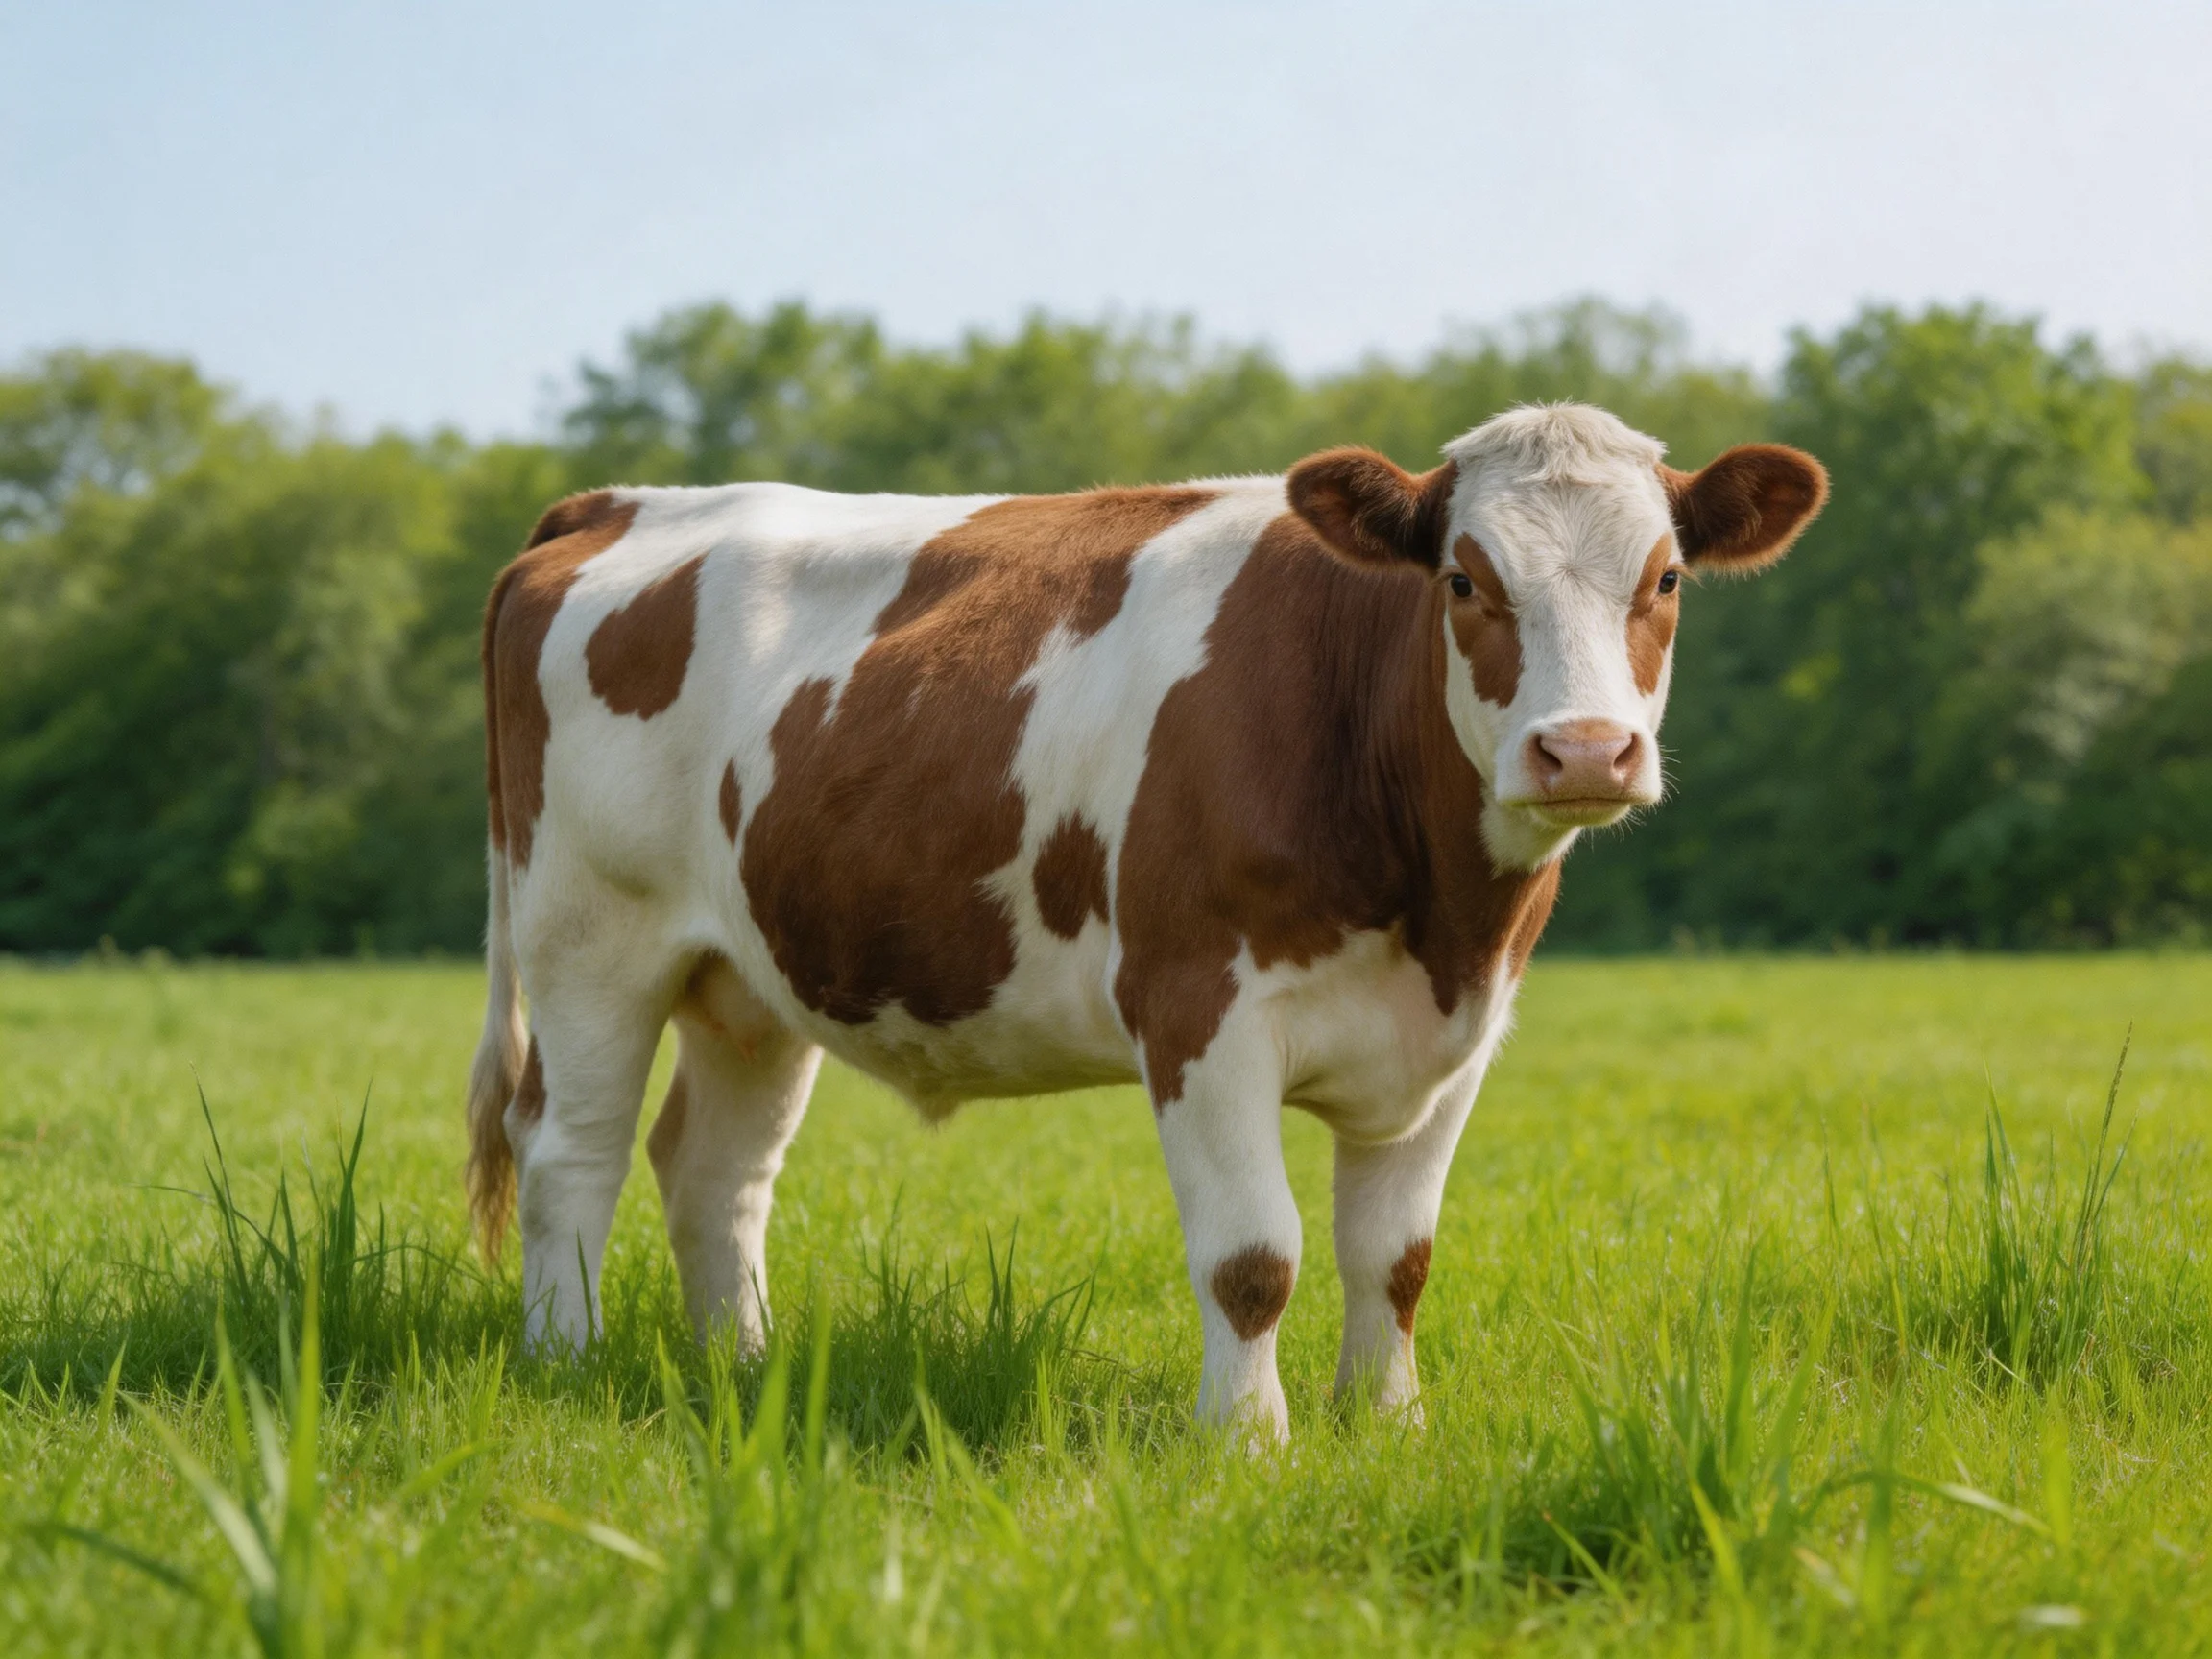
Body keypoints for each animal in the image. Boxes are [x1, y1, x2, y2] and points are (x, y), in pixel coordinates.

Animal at [464, 403, 1826, 1439]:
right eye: (1463, 578)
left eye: (1665, 578)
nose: (1586, 749)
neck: (1437, 912)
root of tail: (621, 503)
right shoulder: (1198, 1011)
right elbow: (1254, 1256)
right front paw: (1249, 1443)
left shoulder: (1459, 1039)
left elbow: (1396, 1256)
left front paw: (1389, 1425)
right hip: (592, 937)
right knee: (570, 1150)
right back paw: (568, 1362)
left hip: (749, 976)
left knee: (714, 1170)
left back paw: (742, 1367)